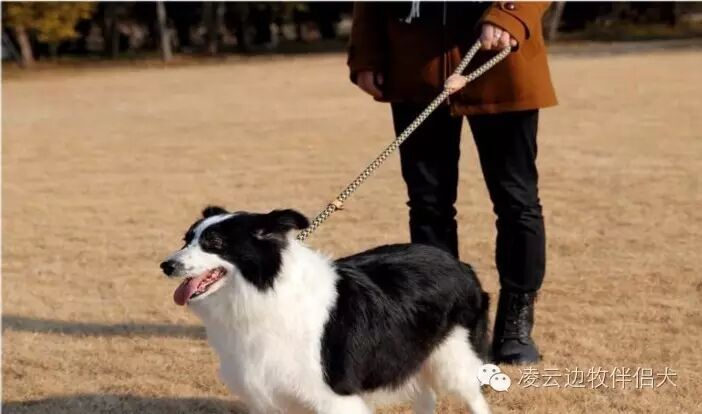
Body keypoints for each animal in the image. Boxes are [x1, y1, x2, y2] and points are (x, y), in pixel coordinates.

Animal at [160, 206, 492, 414]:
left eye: (213, 242)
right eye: (186, 239)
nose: (166, 265)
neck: (264, 293)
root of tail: (459, 264)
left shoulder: (336, 397)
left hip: (455, 359)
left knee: (475, 399)